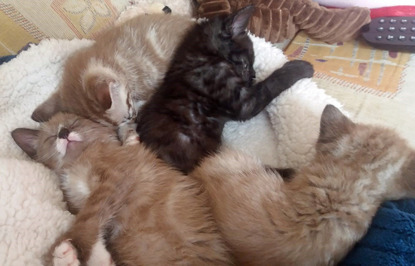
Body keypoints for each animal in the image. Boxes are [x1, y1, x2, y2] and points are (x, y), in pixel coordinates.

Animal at [10, 114, 231, 266]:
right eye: (51, 137)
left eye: (74, 123)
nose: (63, 133)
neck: (77, 162)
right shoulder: (77, 201)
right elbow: (87, 216)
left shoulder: (112, 179)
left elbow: (87, 218)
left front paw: (73, 242)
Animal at [137, 5, 316, 175]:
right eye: (246, 64)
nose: (252, 77)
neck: (202, 56)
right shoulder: (244, 103)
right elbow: (271, 83)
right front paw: (300, 67)